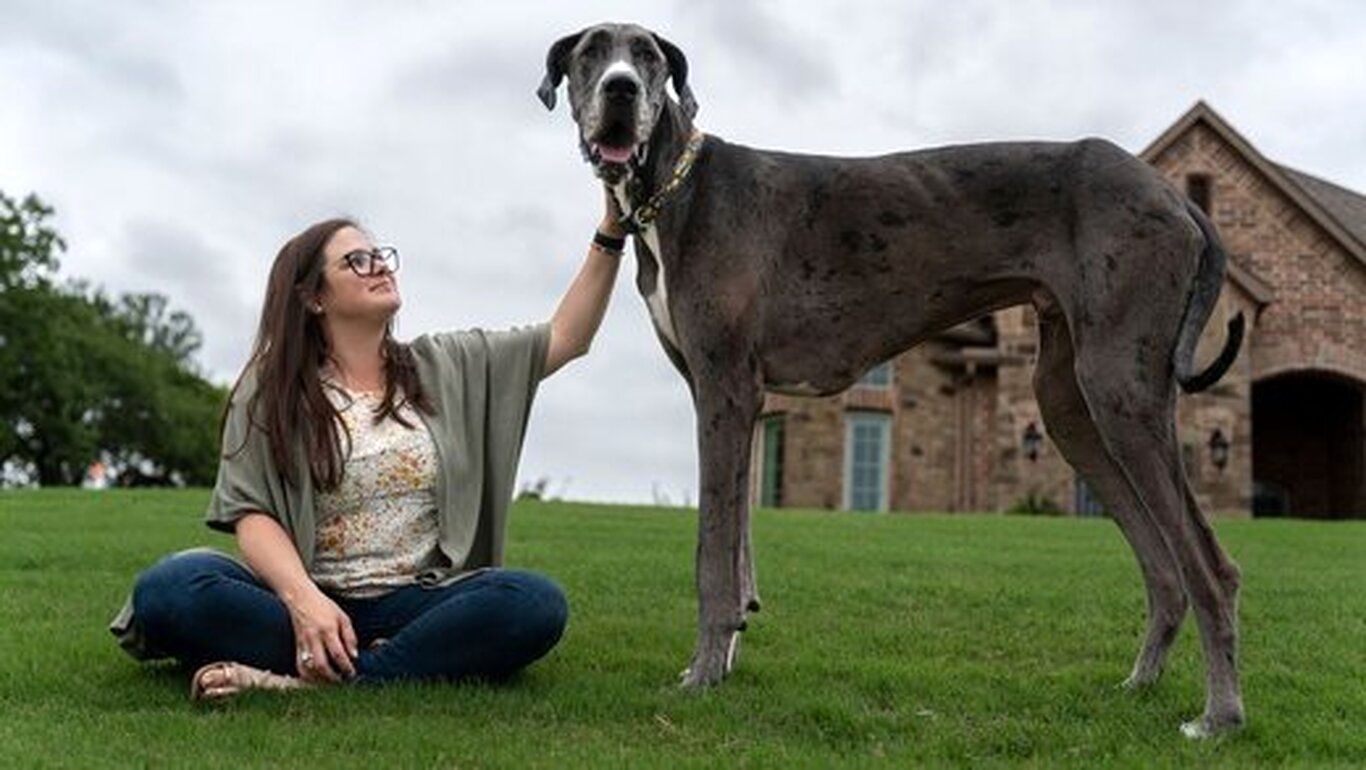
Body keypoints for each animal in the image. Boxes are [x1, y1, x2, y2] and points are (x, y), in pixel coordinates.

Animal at [532, 21, 1251, 737]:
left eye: (648, 56)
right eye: (591, 53)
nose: (620, 90)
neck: (676, 188)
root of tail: (1176, 197)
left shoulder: (725, 390)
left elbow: (712, 552)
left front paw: (703, 674)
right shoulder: (736, 402)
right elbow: (737, 547)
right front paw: (726, 655)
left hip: (1119, 389)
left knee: (1210, 566)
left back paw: (1219, 715)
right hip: (1070, 406)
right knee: (1164, 566)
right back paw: (1140, 684)